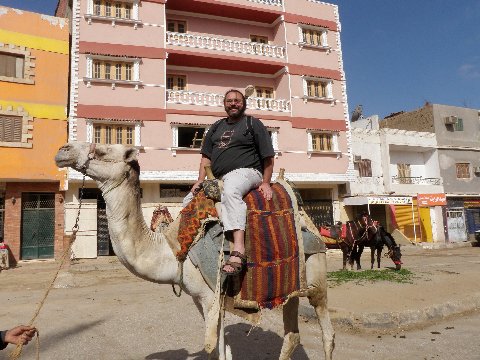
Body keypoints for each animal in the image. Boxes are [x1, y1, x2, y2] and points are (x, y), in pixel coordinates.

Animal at [55, 143, 334, 360]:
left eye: (101, 149)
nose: (63, 150)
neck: (173, 251)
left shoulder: (211, 297)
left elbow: (217, 350)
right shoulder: (201, 299)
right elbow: (219, 351)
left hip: (317, 277)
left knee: (327, 332)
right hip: (293, 285)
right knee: (292, 335)